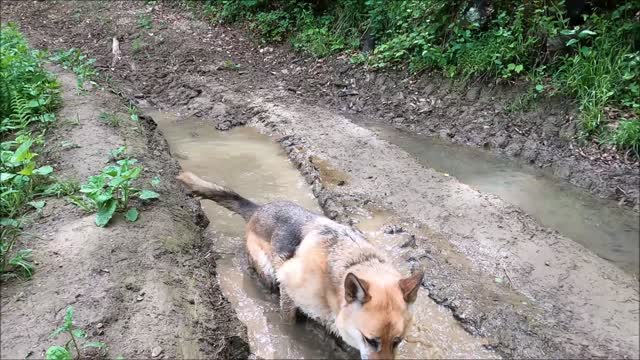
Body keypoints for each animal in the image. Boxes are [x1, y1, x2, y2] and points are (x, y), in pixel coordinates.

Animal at [178, 170, 422, 358]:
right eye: (371, 340)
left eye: (398, 341)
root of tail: (259, 209)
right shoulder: (289, 290)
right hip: (267, 271)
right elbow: (291, 322)